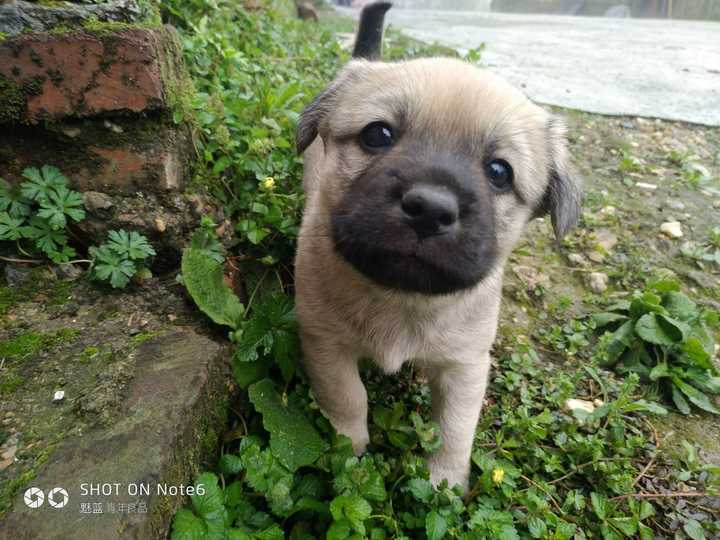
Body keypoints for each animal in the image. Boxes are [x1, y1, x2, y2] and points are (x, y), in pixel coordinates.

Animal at [296, 1, 584, 490]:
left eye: (499, 172)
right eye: (378, 134)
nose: (430, 209)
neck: (401, 296)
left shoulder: (464, 368)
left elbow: (453, 428)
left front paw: (443, 484)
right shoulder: (326, 344)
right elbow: (348, 398)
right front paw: (347, 450)